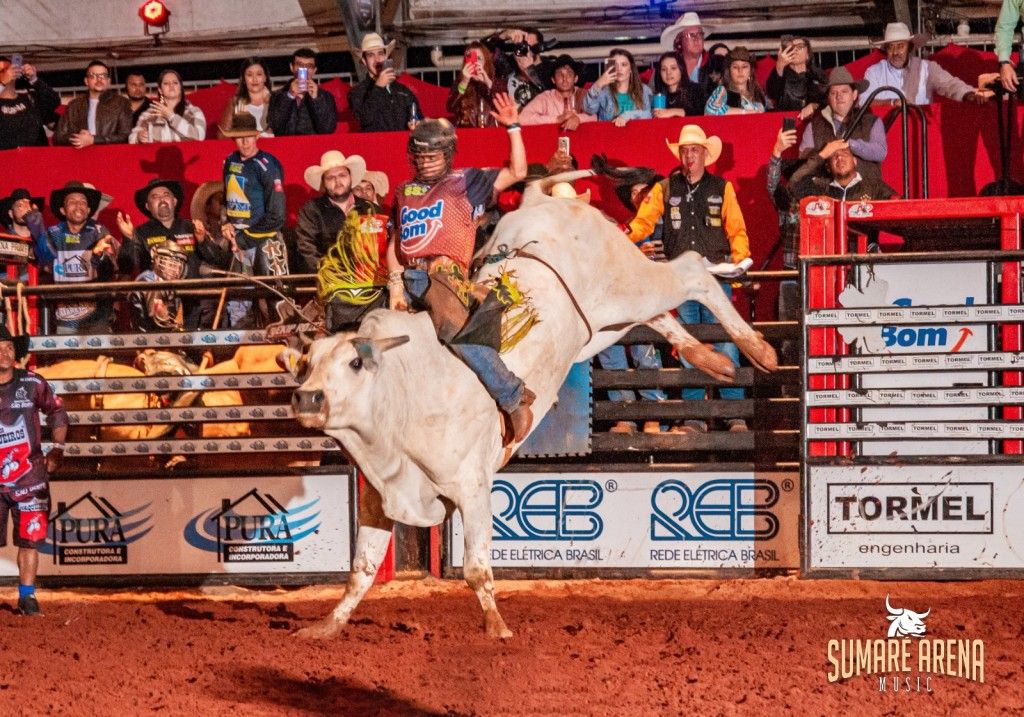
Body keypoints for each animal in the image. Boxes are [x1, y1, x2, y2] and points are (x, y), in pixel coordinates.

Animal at [290, 172, 774, 639]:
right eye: (307, 364)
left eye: (355, 363)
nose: (308, 397)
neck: (405, 394)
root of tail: (543, 201)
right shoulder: (380, 495)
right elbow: (361, 569)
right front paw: (326, 627)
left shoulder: (473, 487)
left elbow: (476, 569)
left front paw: (498, 629)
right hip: (602, 324)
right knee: (659, 314)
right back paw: (712, 360)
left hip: (629, 284)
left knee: (691, 270)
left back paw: (758, 350)